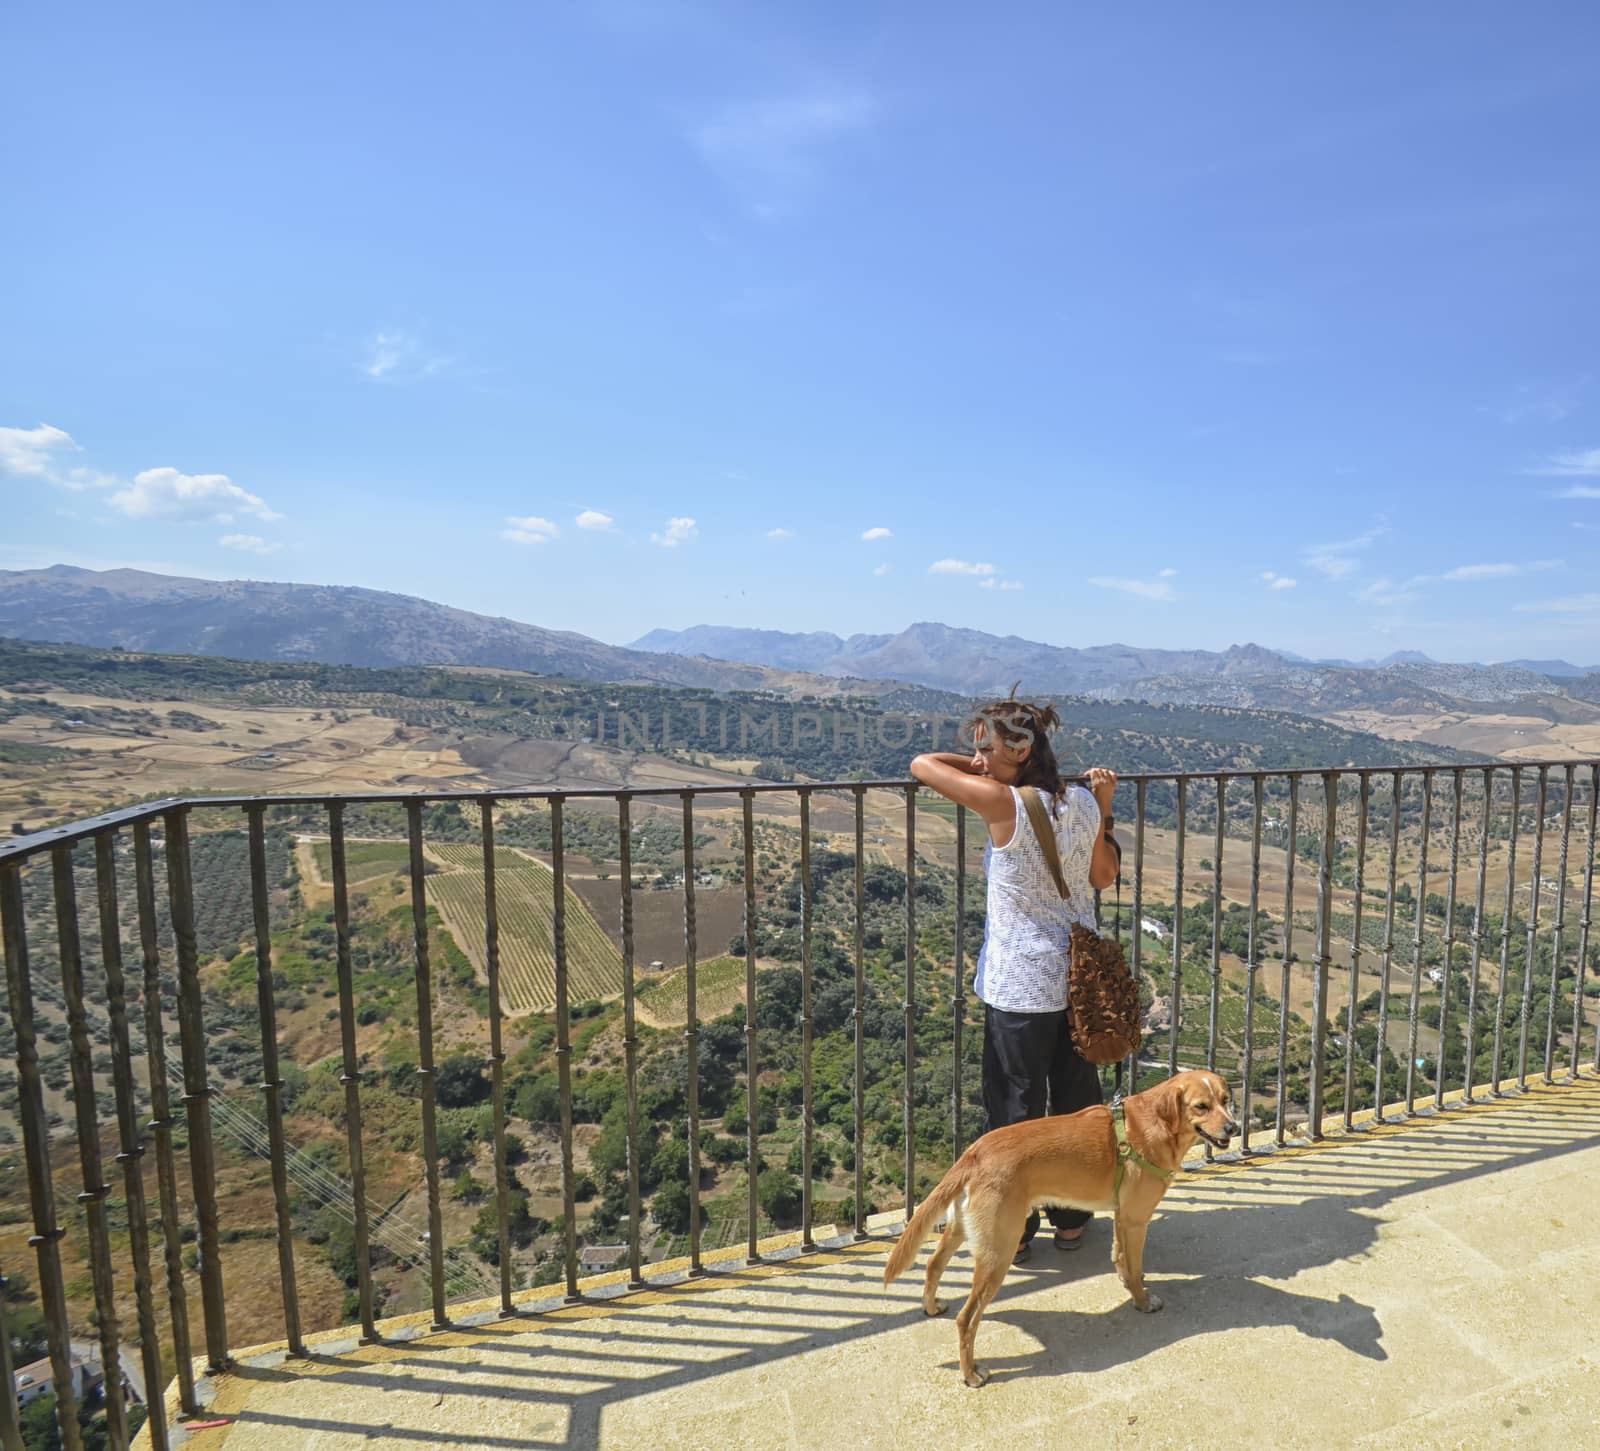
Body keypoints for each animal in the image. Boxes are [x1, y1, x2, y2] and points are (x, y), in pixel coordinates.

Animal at [889, 1075, 1235, 1388]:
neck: (1158, 1122)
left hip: (962, 1229)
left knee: (933, 1264)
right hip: (999, 1252)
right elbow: (1135, 1267)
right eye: (1201, 1106)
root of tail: (974, 1153)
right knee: (967, 1318)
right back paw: (971, 1374)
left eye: (1226, 1099)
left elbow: (1121, 1257)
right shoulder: (1136, 1219)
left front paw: (1128, 1282)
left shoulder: (1122, 1216)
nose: (1233, 1128)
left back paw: (931, 1307)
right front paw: (1142, 1301)